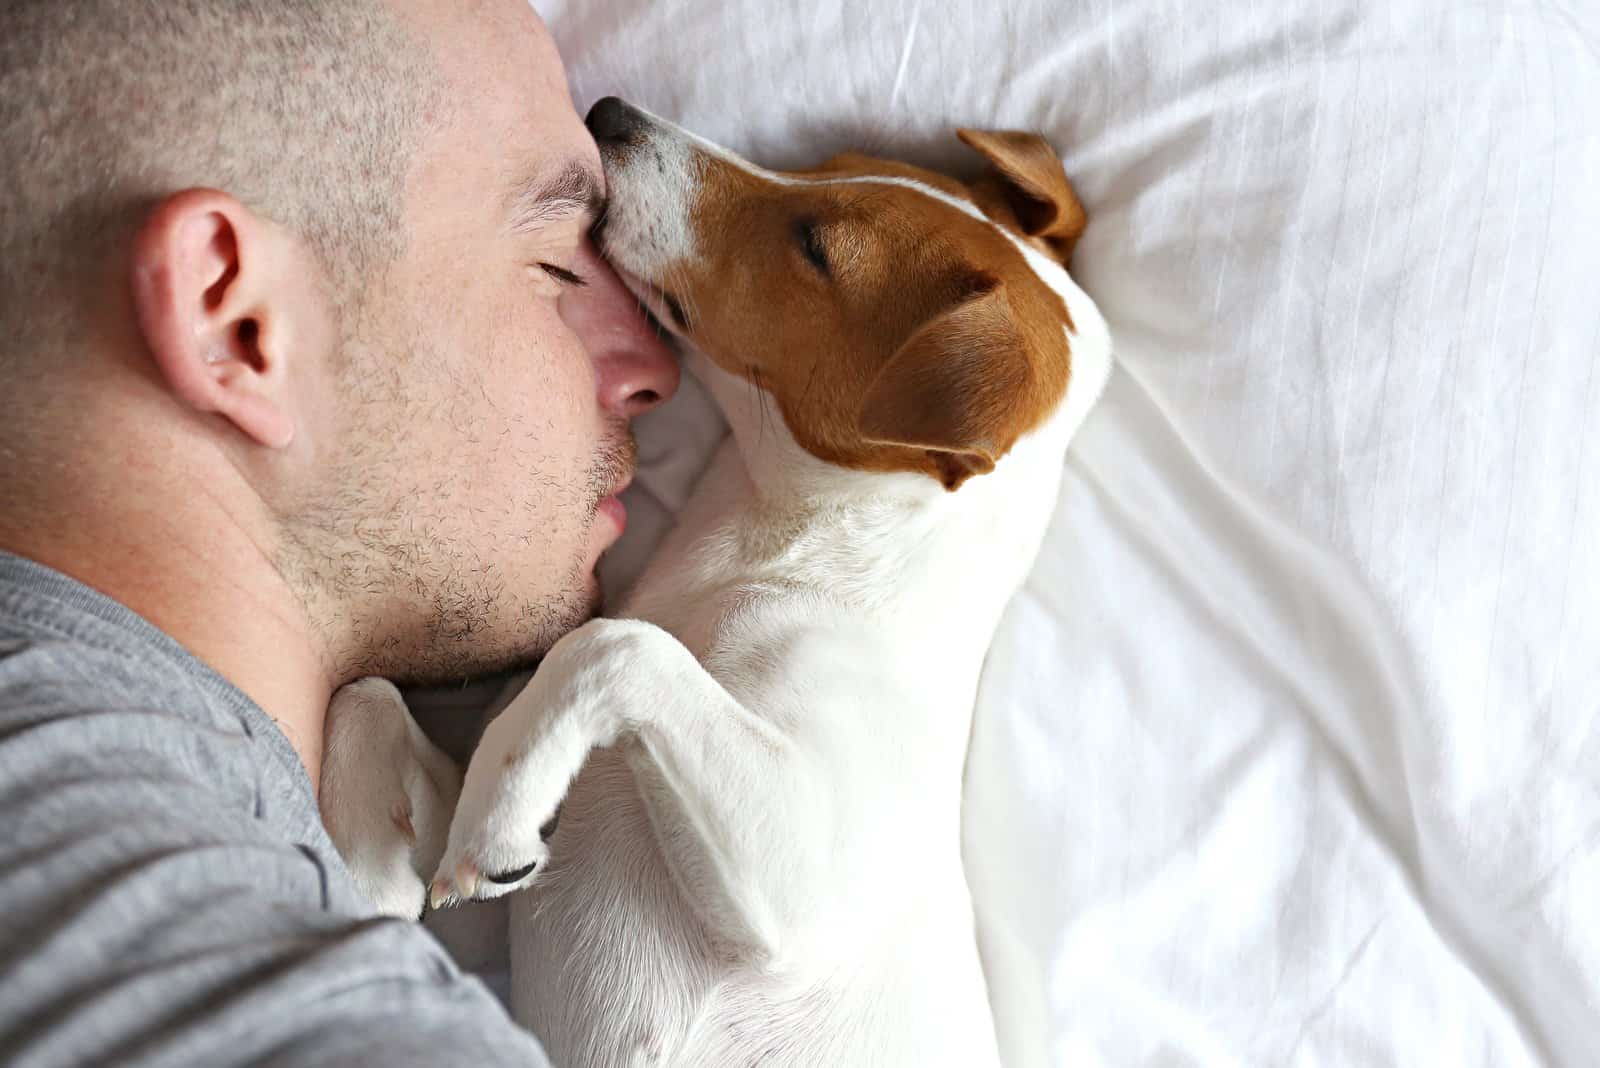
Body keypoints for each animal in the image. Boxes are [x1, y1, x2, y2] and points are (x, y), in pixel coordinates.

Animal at [321, 102, 1113, 1068]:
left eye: (816, 246)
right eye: (835, 161)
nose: (610, 114)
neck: (779, 553)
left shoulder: (805, 875)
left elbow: (614, 646)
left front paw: (499, 811)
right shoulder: (490, 924)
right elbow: (366, 691)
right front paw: (369, 862)